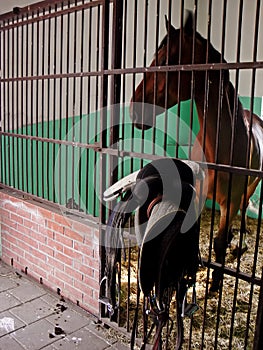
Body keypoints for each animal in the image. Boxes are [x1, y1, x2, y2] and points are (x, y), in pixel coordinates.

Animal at [130, 12, 263, 292]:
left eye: (166, 62)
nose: (134, 109)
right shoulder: (199, 192)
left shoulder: (230, 201)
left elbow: (219, 244)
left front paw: (215, 284)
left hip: (251, 186)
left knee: (244, 207)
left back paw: (241, 240)